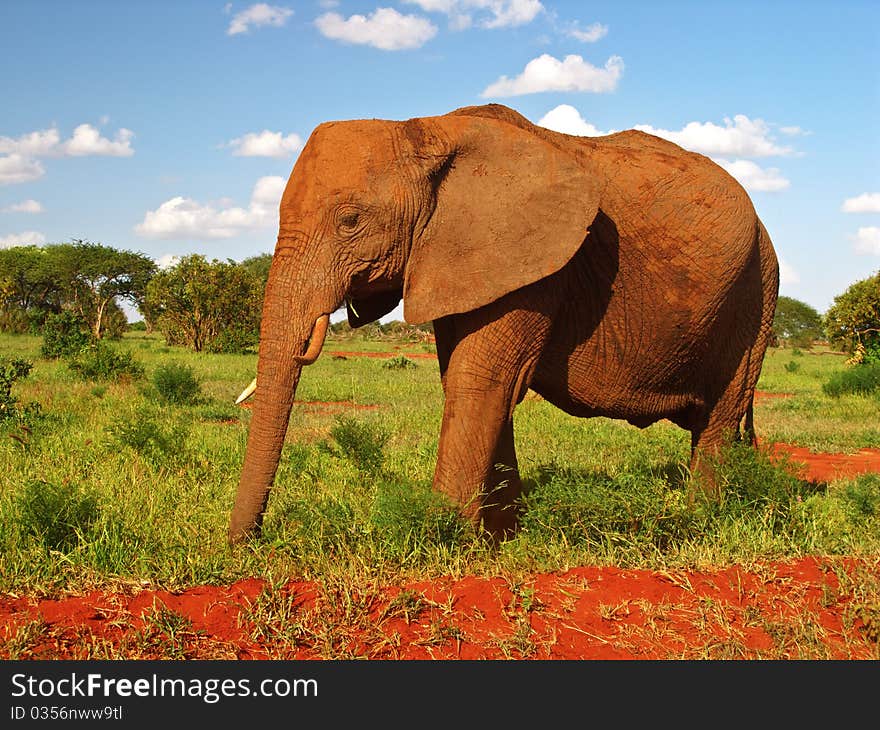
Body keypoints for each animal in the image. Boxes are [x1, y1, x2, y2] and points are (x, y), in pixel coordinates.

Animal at [227, 105, 776, 544]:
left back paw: (700, 523)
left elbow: (479, 381)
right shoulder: (456, 259)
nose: (246, 546)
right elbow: (475, 382)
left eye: (350, 221)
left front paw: (445, 541)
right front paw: (502, 538)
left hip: (755, 296)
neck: (426, 128)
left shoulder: (534, 262)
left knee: (718, 421)